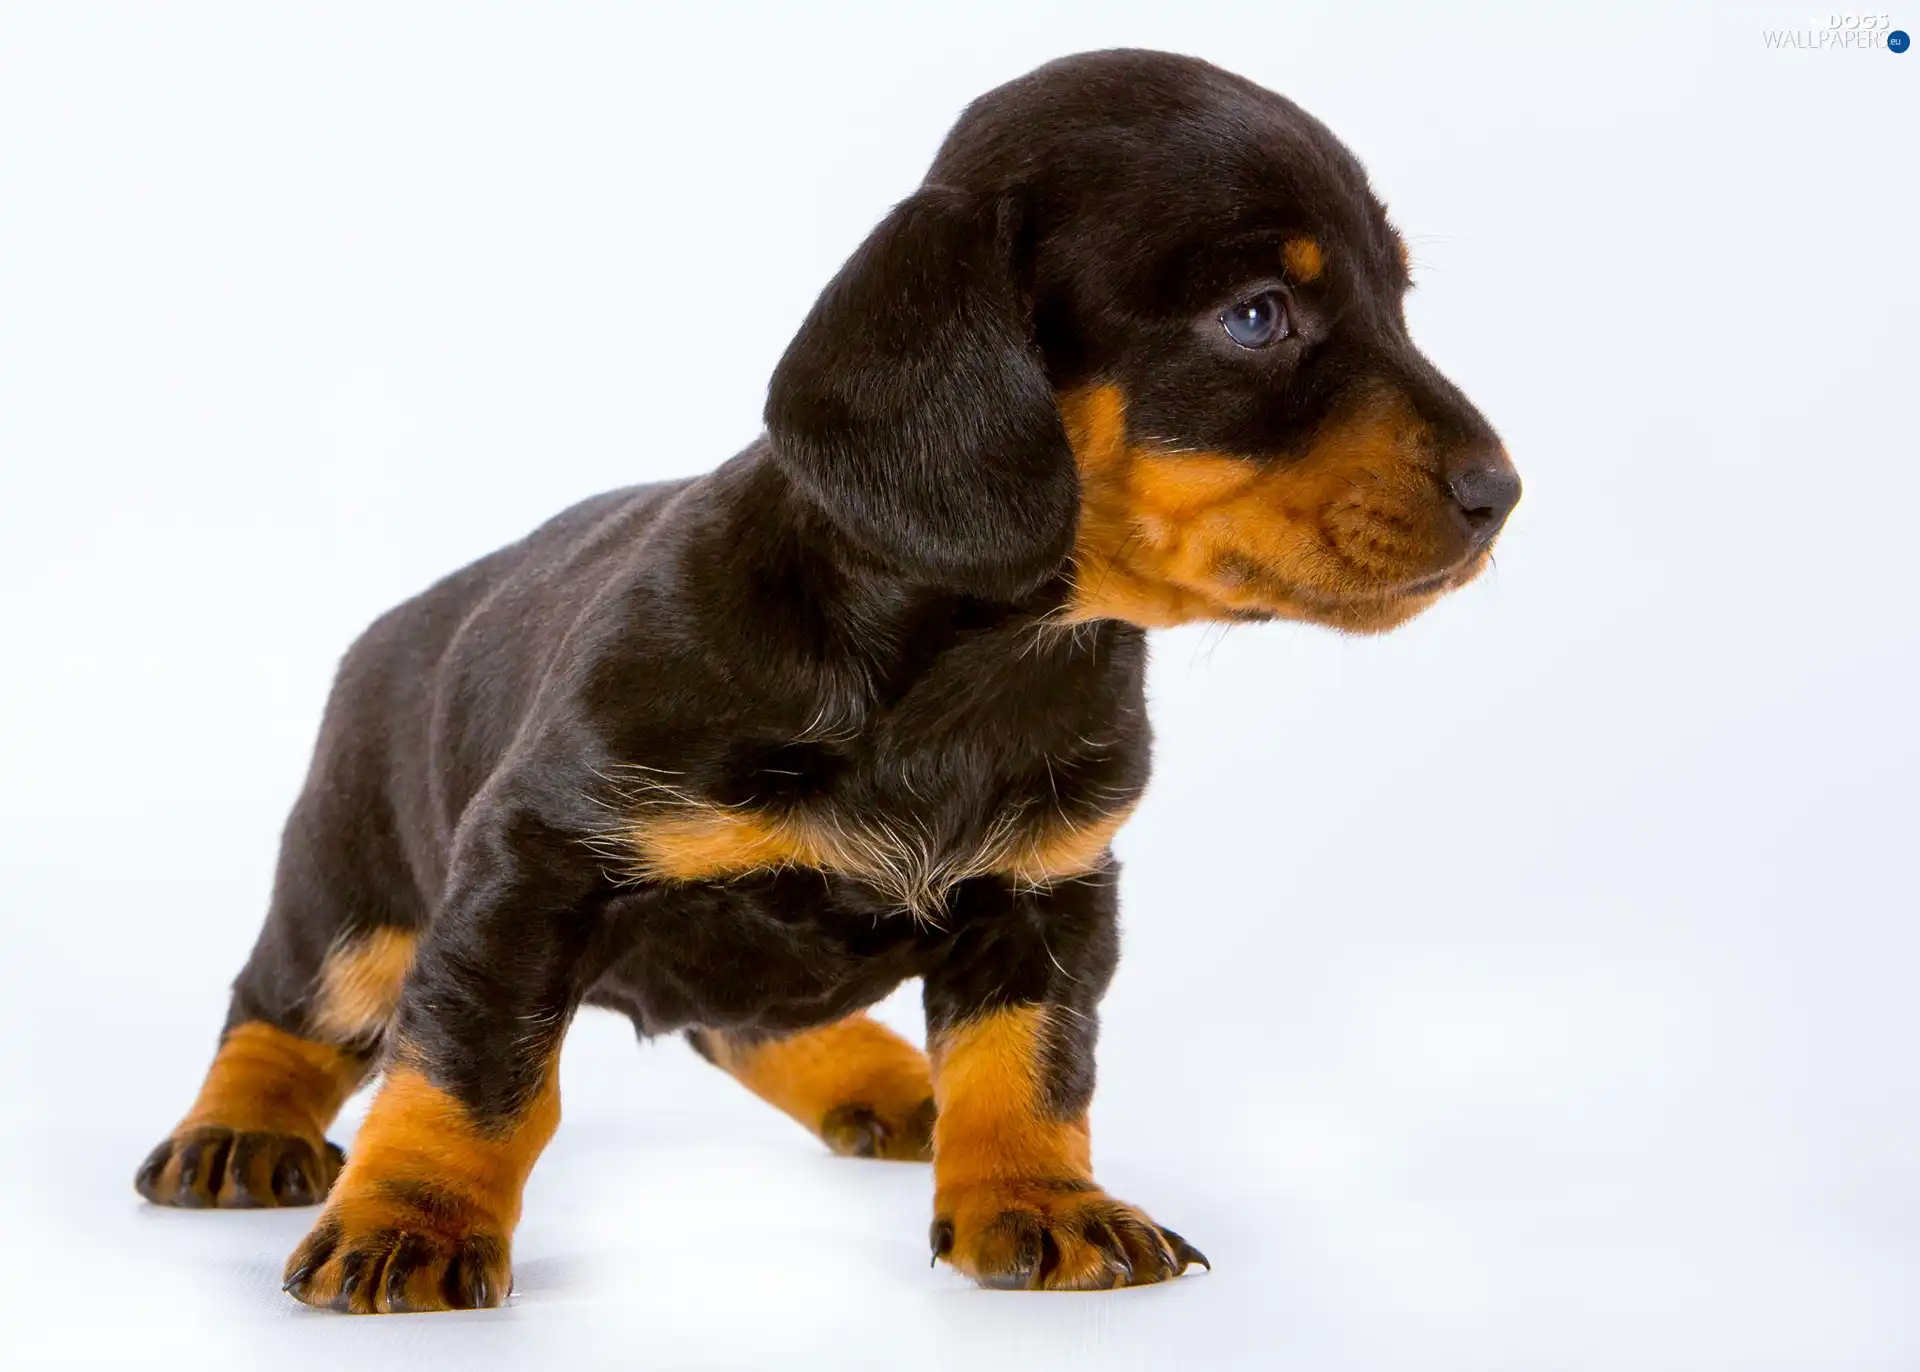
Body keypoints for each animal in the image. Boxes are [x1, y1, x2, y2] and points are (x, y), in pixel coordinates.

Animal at [131, 45, 1512, 1312]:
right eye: (1258, 315)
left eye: (1399, 298)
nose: (1500, 493)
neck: (969, 671)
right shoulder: (534, 865)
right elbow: (472, 1069)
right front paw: (414, 1220)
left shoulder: (1051, 898)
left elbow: (1030, 1068)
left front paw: (1037, 1198)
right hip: (352, 896)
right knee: (286, 1007)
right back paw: (240, 1131)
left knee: (750, 1019)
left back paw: (889, 1081)